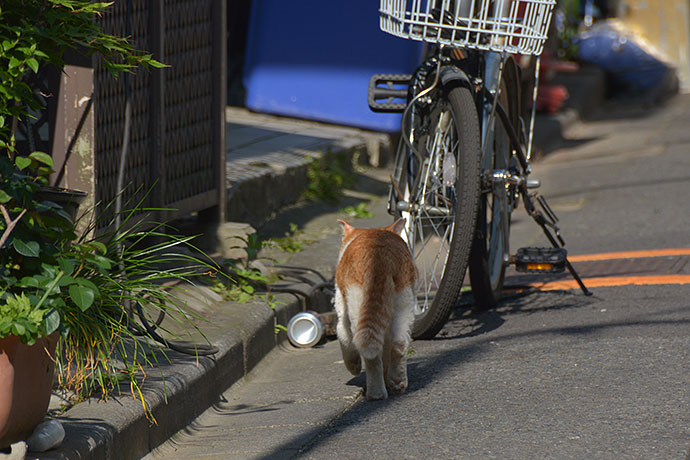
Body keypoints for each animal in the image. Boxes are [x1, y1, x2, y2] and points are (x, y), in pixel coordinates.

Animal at [334, 217, 414, 400]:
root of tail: (381, 256)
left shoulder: (341, 308)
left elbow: (343, 336)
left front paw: (354, 366)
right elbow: (385, 351)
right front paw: (388, 377)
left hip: (357, 305)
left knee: (367, 349)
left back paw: (376, 393)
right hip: (404, 301)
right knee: (399, 342)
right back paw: (397, 382)